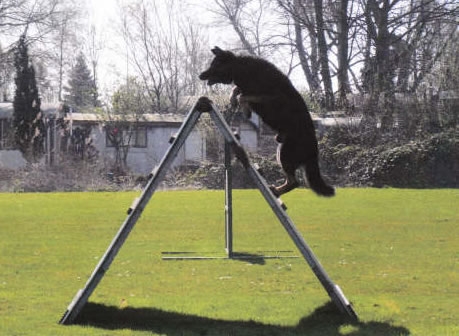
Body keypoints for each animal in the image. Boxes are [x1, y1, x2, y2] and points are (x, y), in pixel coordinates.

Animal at [199, 46, 336, 196]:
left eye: (215, 65)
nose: (200, 75)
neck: (242, 68)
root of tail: (314, 151)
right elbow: (237, 90)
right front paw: (233, 100)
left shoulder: (272, 98)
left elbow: (243, 96)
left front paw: (244, 107)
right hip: (280, 151)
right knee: (292, 181)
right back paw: (276, 190)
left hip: (285, 154)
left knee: (295, 182)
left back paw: (276, 191)